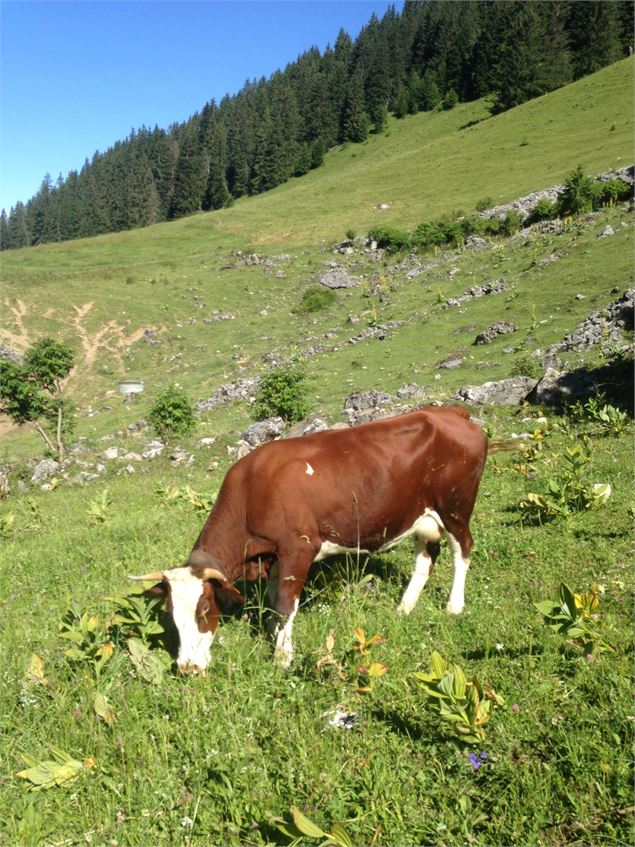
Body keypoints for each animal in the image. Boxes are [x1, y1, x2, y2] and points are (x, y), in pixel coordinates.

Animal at [129, 410, 486, 676]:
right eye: (171, 612)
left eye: (204, 608)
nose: (187, 667)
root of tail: (450, 412)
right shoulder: (272, 556)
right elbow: (273, 602)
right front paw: (274, 637)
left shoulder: (297, 548)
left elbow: (286, 604)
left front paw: (282, 658)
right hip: (421, 515)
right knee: (426, 557)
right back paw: (404, 607)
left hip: (455, 508)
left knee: (463, 549)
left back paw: (454, 606)